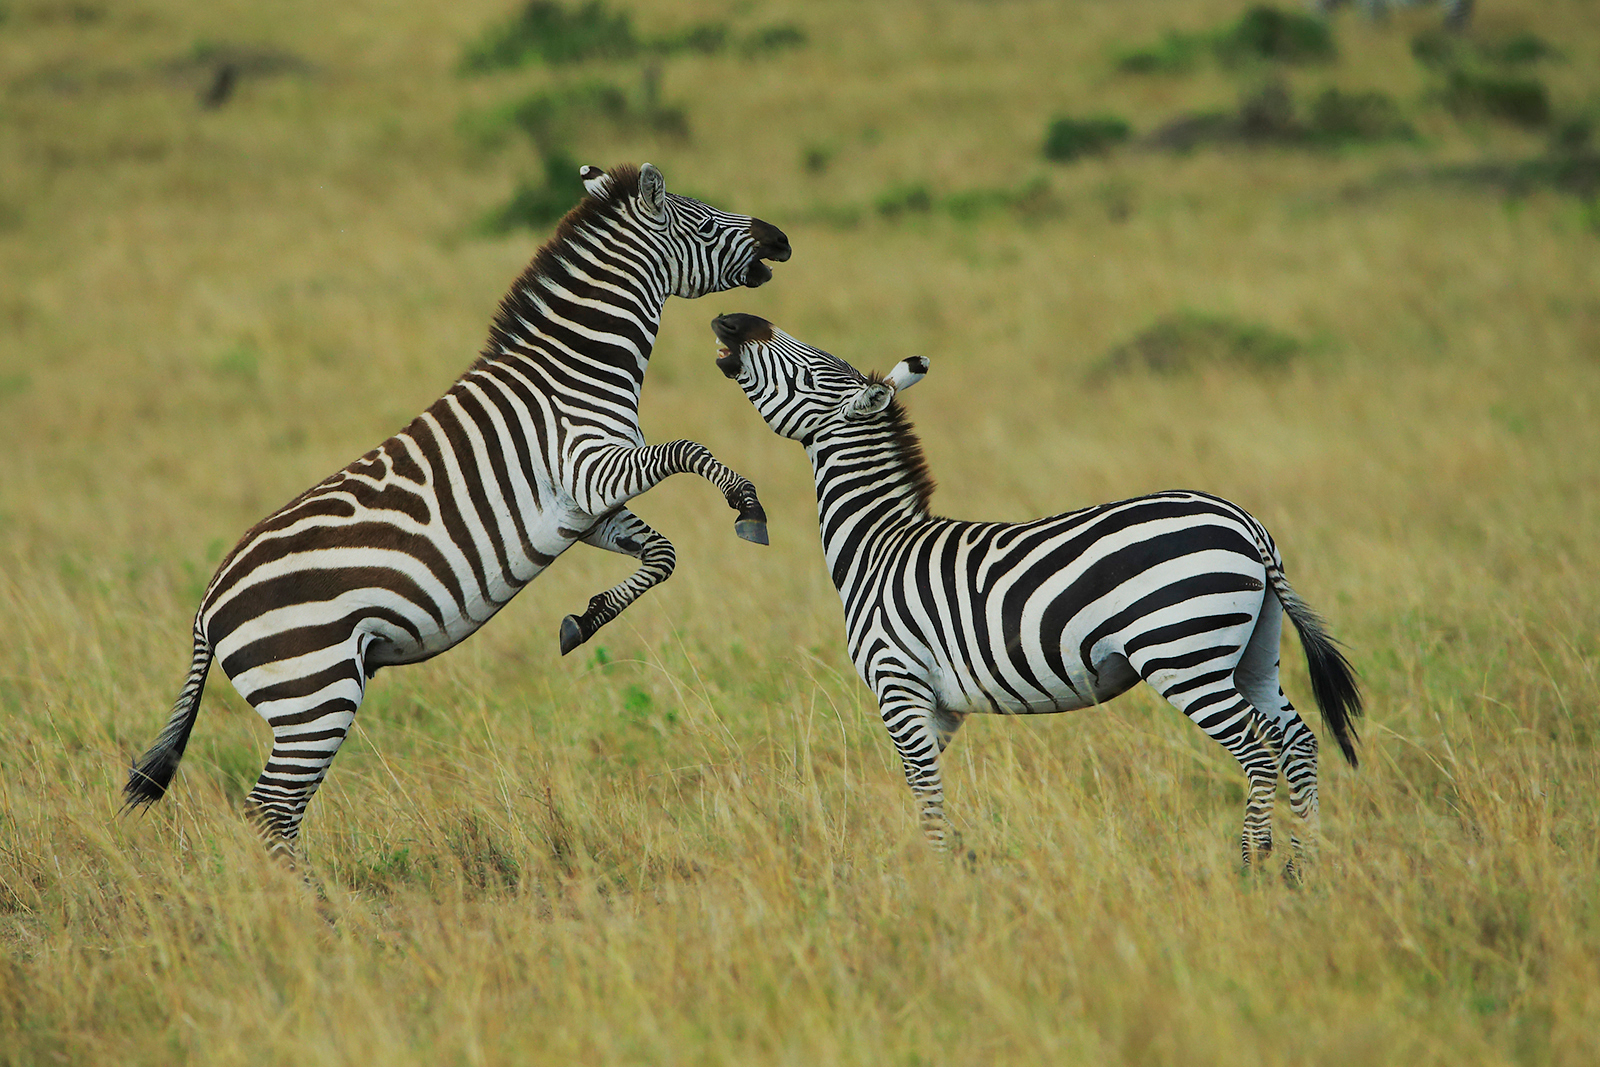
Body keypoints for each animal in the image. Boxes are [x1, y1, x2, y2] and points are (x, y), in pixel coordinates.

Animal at [122, 163, 791, 860]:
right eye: (707, 219)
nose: (782, 241)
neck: (577, 370)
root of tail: (206, 611)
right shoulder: (589, 467)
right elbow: (689, 450)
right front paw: (748, 505)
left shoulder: (585, 510)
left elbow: (662, 554)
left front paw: (583, 622)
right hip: (315, 688)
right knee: (272, 810)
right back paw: (319, 896)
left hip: (308, 693)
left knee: (273, 811)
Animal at [710, 314, 1361, 873]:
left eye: (808, 368)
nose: (733, 320)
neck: (879, 545)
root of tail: (1245, 523)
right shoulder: (941, 707)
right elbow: (923, 791)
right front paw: (929, 867)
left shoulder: (899, 684)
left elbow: (925, 790)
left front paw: (935, 882)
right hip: (1252, 652)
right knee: (1298, 743)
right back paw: (1302, 869)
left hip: (1182, 654)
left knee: (1258, 753)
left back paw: (1252, 865)